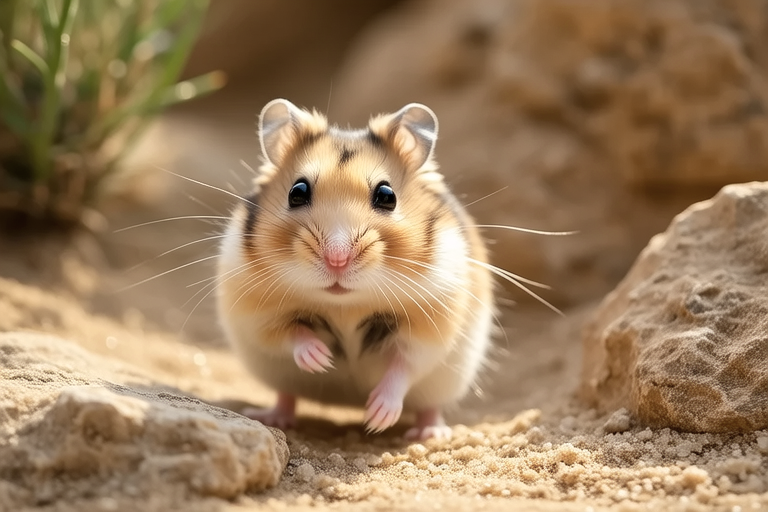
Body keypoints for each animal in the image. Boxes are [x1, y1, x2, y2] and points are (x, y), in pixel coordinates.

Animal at [216, 98, 495, 440]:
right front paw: (321, 359)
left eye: (387, 196)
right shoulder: (258, 316)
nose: (337, 259)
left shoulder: (431, 326)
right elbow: (290, 334)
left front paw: (377, 417)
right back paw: (274, 417)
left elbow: (404, 366)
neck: (345, 304)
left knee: (429, 406)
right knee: (286, 395)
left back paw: (431, 433)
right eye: (297, 192)